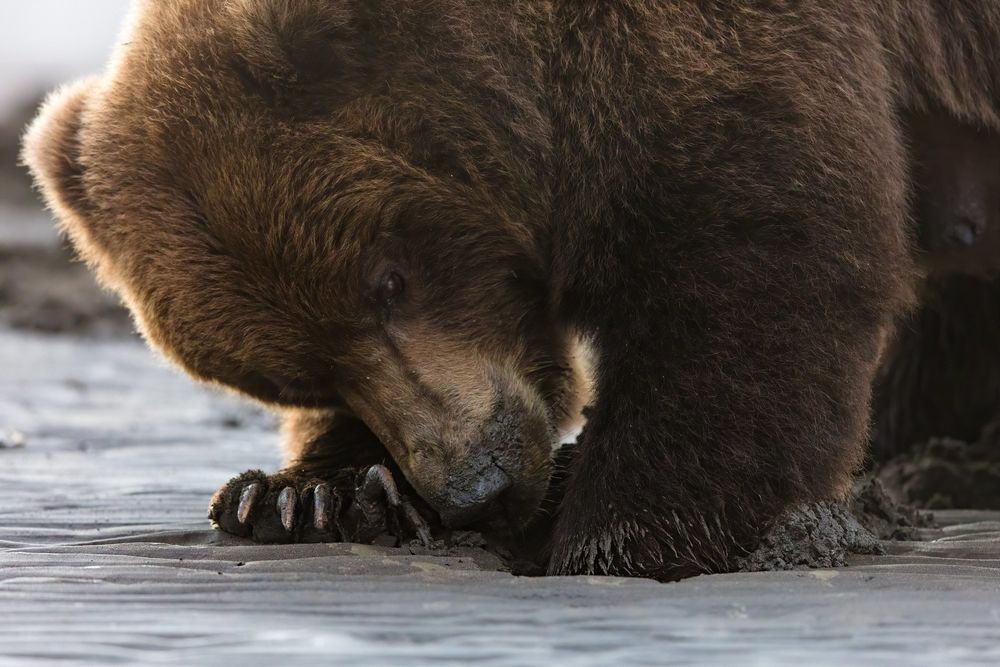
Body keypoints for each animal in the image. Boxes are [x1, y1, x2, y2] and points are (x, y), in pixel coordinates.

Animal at [22, 0, 1000, 580]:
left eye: (389, 276)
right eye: (299, 373)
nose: (476, 488)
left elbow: (747, 266)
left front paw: (614, 531)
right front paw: (307, 493)